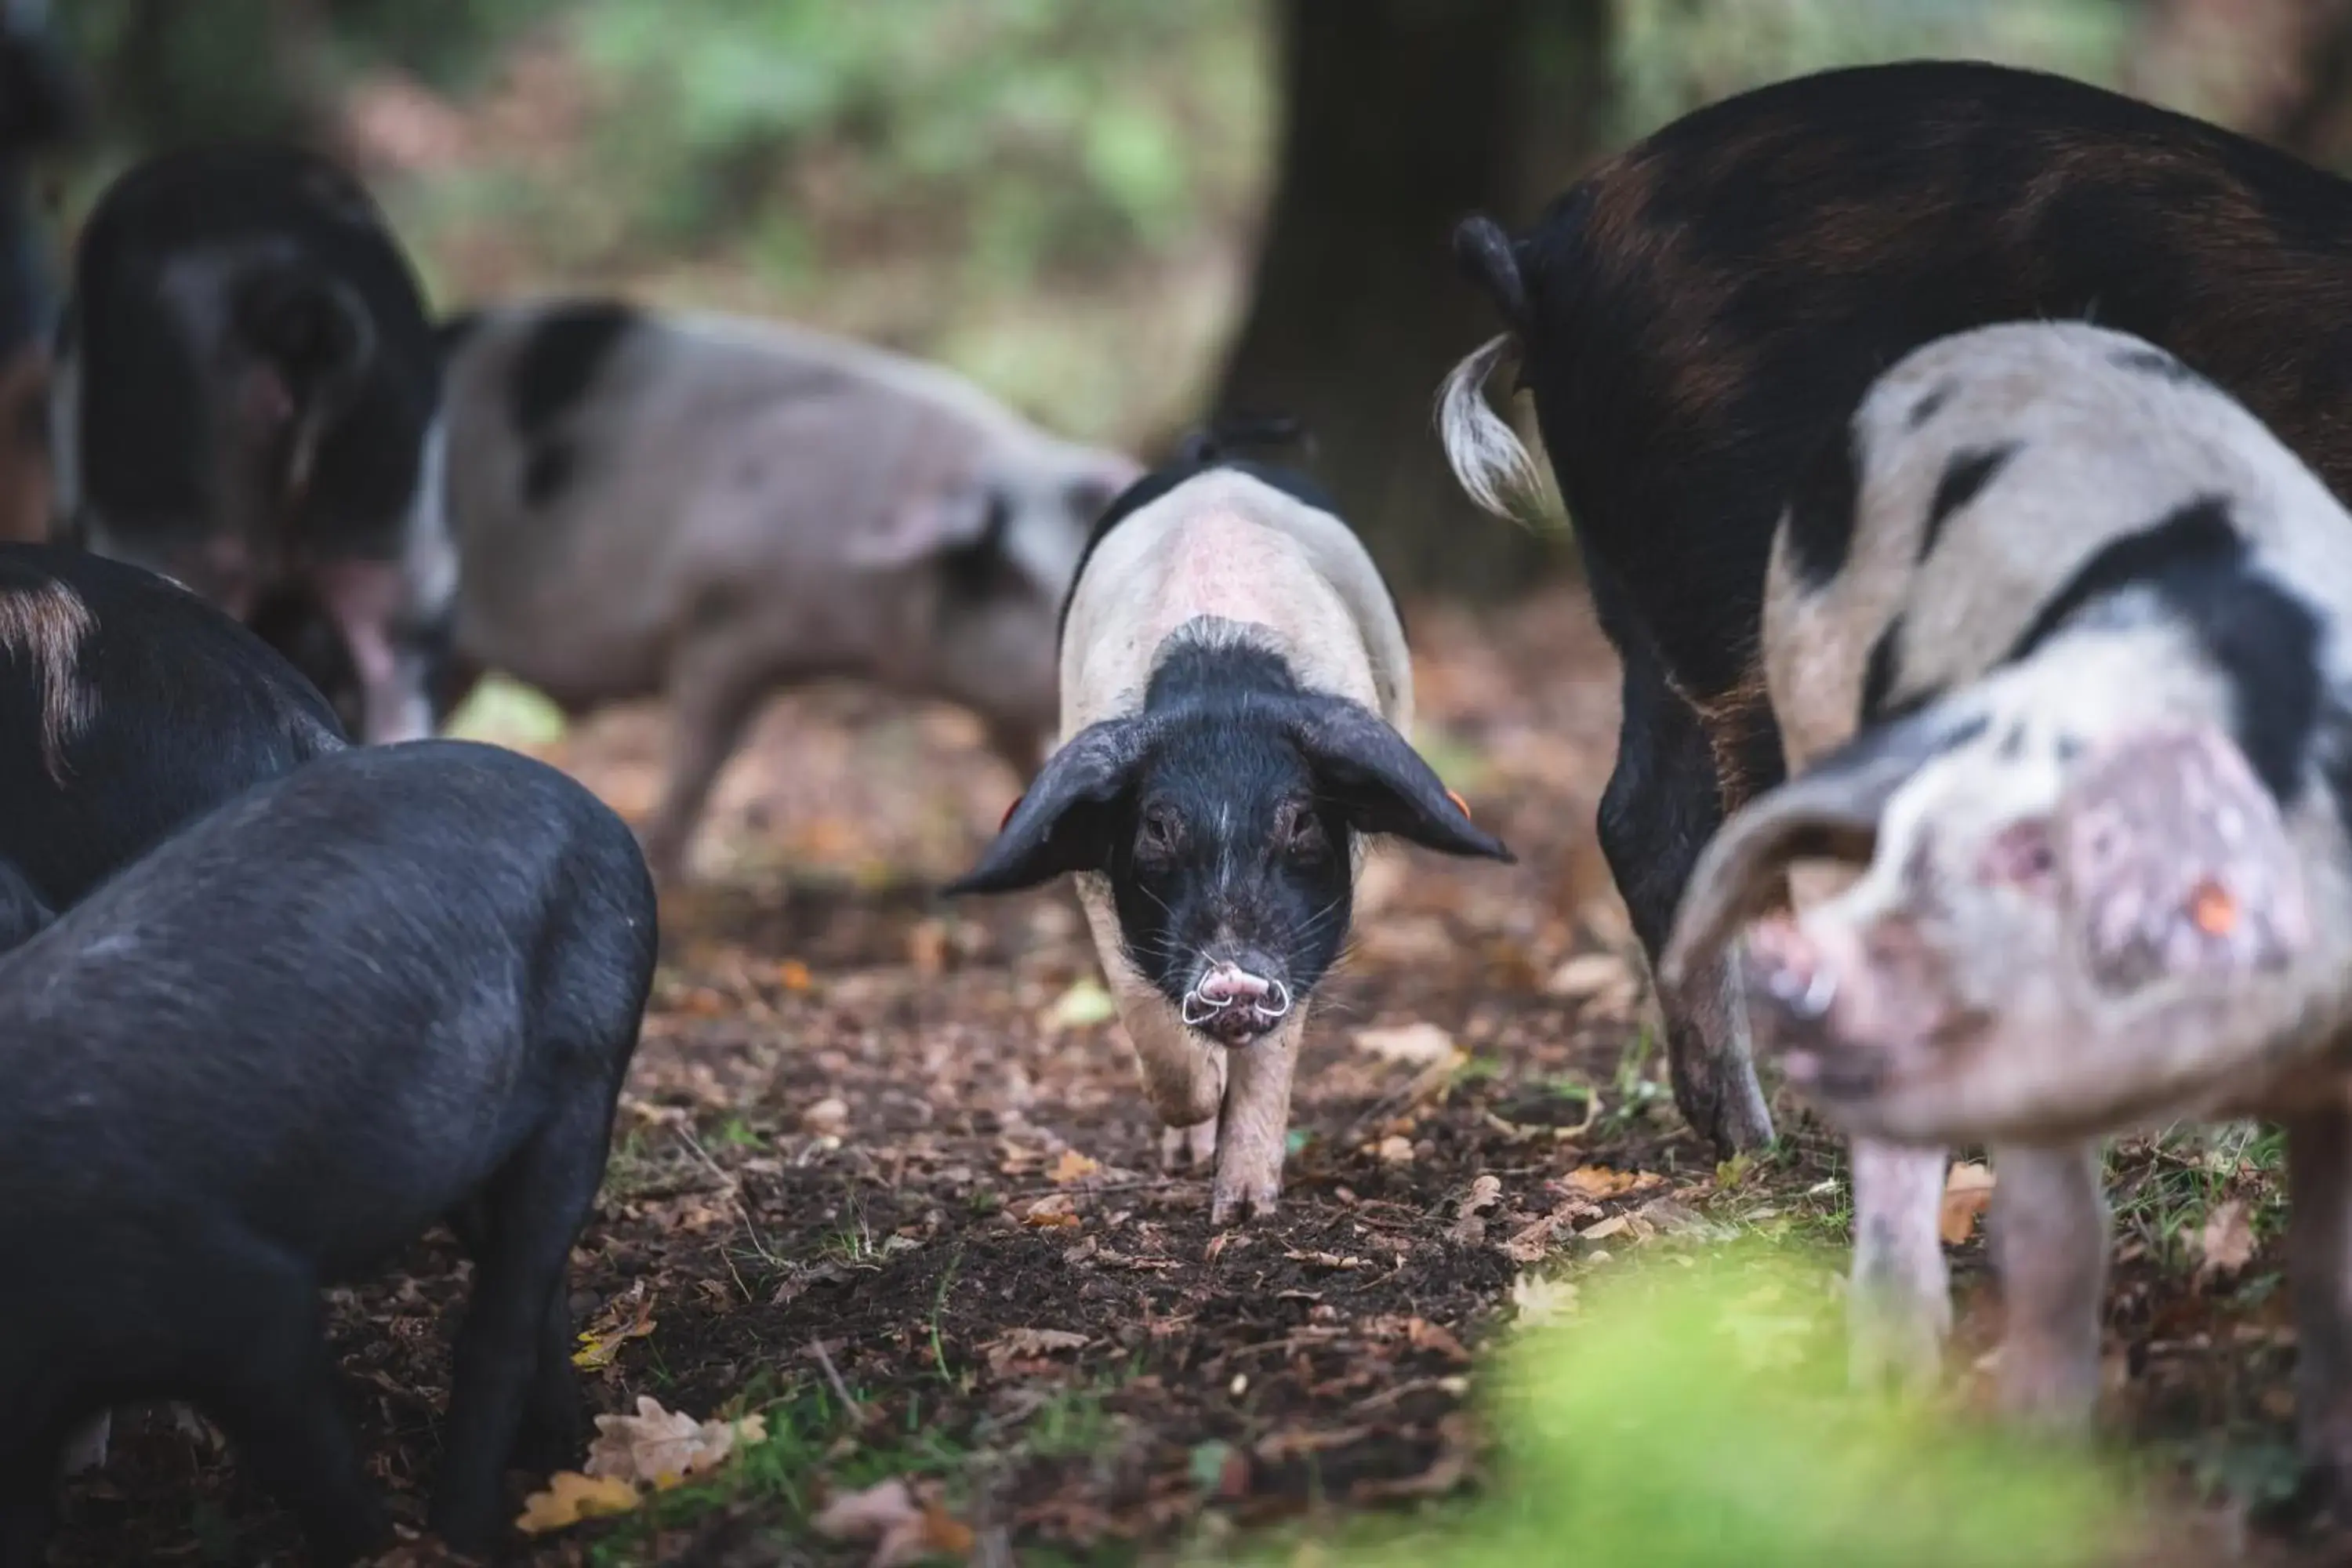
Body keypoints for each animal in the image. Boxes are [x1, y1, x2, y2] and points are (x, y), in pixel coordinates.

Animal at [0, 738, 663, 1568]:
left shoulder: (234, 1291)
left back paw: (474, 1526)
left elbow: (313, 1462)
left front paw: (381, 1545)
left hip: (589, 1066)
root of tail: (600, 811)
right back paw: (554, 1462)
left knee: (507, 1316)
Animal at [946, 425, 1515, 1222]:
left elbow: (1275, 1054)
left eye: (1299, 820)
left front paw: (1243, 1212)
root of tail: (1214, 456)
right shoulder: (1103, 887)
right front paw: (1200, 1113)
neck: (1221, 678)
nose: (1235, 977)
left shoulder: (1309, 920)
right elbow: (1142, 1012)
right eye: (1157, 828)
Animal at [1656, 319, 2352, 1486]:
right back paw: (1892, 1374)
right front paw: (2037, 1466)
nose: (1799, 968)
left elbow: (2334, 1266)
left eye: (2033, 860)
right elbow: (2062, 1235)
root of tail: (1963, 347)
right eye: (1911, 847)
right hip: (1809, 697)